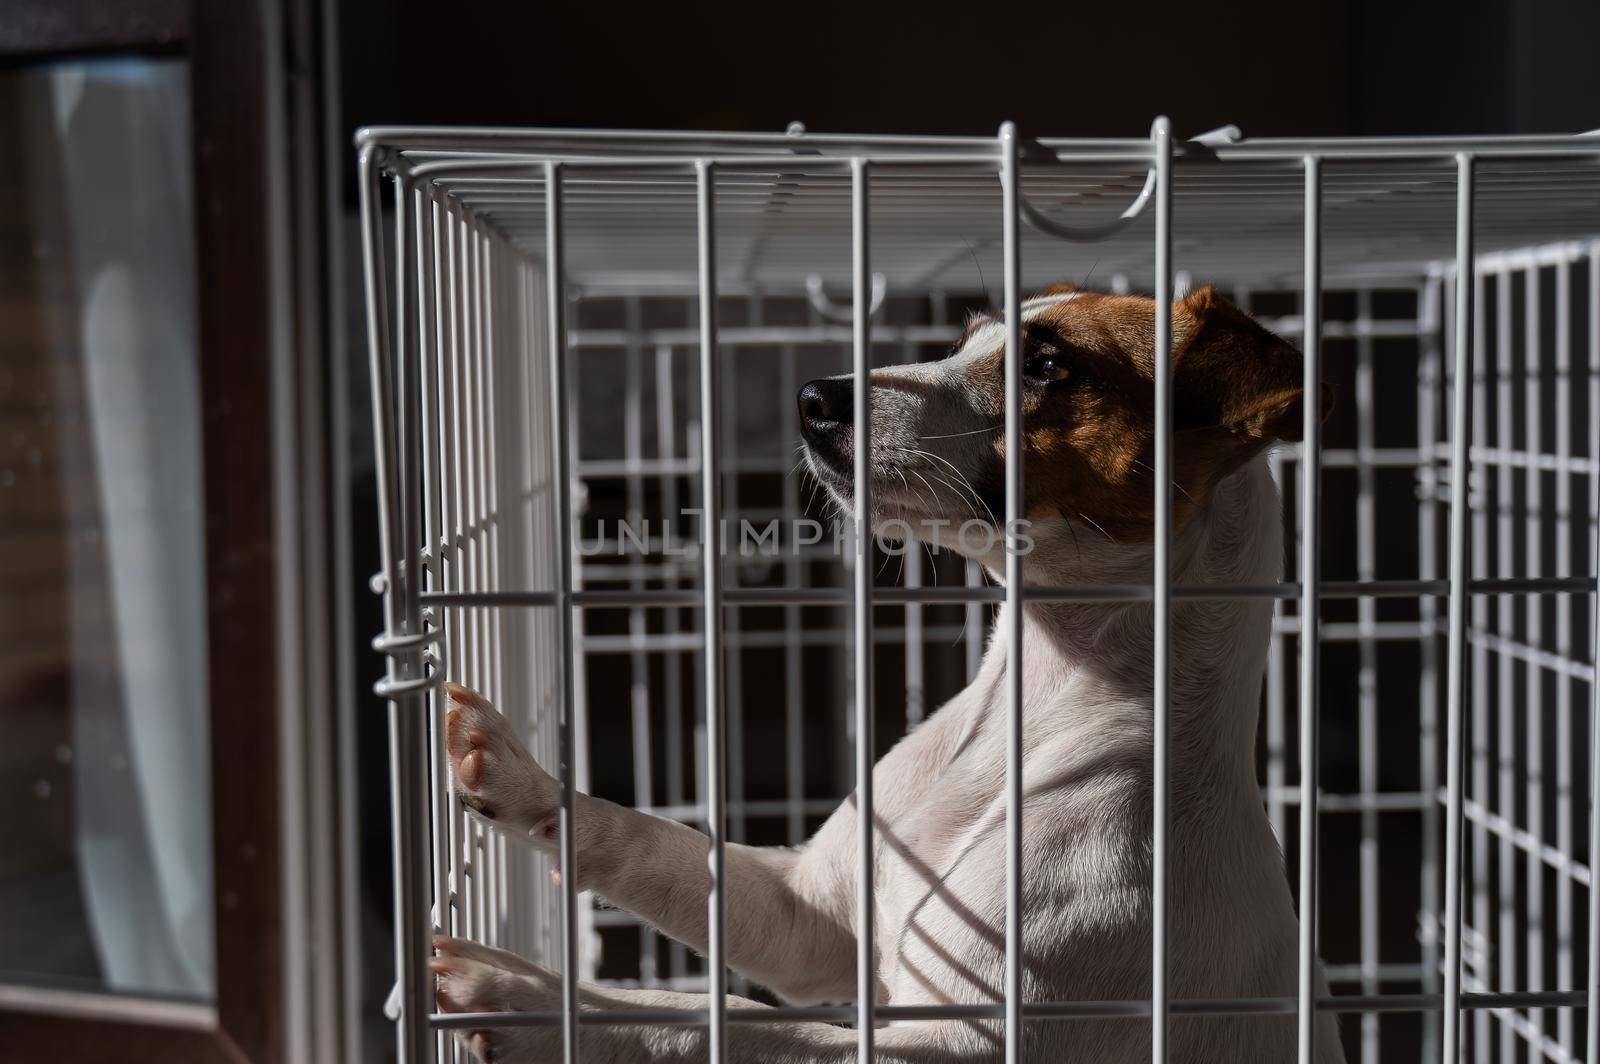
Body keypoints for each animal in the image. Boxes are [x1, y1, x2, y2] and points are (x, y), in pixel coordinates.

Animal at [432, 284, 1344, 1062]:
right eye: (965, 338)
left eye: (1050, 366)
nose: (813, 399)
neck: (1035, 712)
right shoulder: (810, 916)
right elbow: (660, 849)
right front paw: (523, 779)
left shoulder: (949, 1040)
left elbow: (724, 1022)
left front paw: (524, 999)